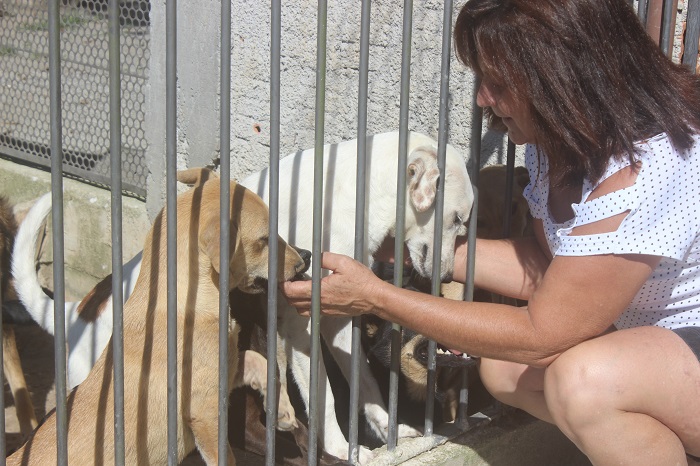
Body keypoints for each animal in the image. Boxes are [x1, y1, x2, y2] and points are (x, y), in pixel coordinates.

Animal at [13, 131, 474, 462]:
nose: (447, 276)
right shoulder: (302, 330)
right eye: (457, 220)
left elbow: (367, 385)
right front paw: (341, 449)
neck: (351, 194)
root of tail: (77, 311)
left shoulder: (339, 322)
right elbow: (323, 399)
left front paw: (389, 431)